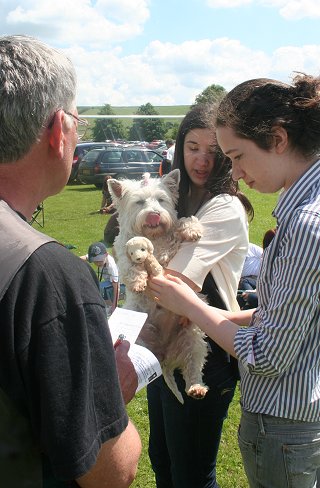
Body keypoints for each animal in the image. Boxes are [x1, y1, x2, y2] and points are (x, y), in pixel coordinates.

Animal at [109, 170, 209, 402]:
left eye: (161, 200)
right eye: (139, 202)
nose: (154, 215)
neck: (153, 238)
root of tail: (164, 356)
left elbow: (180, 222)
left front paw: (191, 229)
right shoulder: (123, 253)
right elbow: (130, 266)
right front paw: (138, 280)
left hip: (192, 336)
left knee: (193, 366)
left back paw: (196, 388)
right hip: (141, 340)